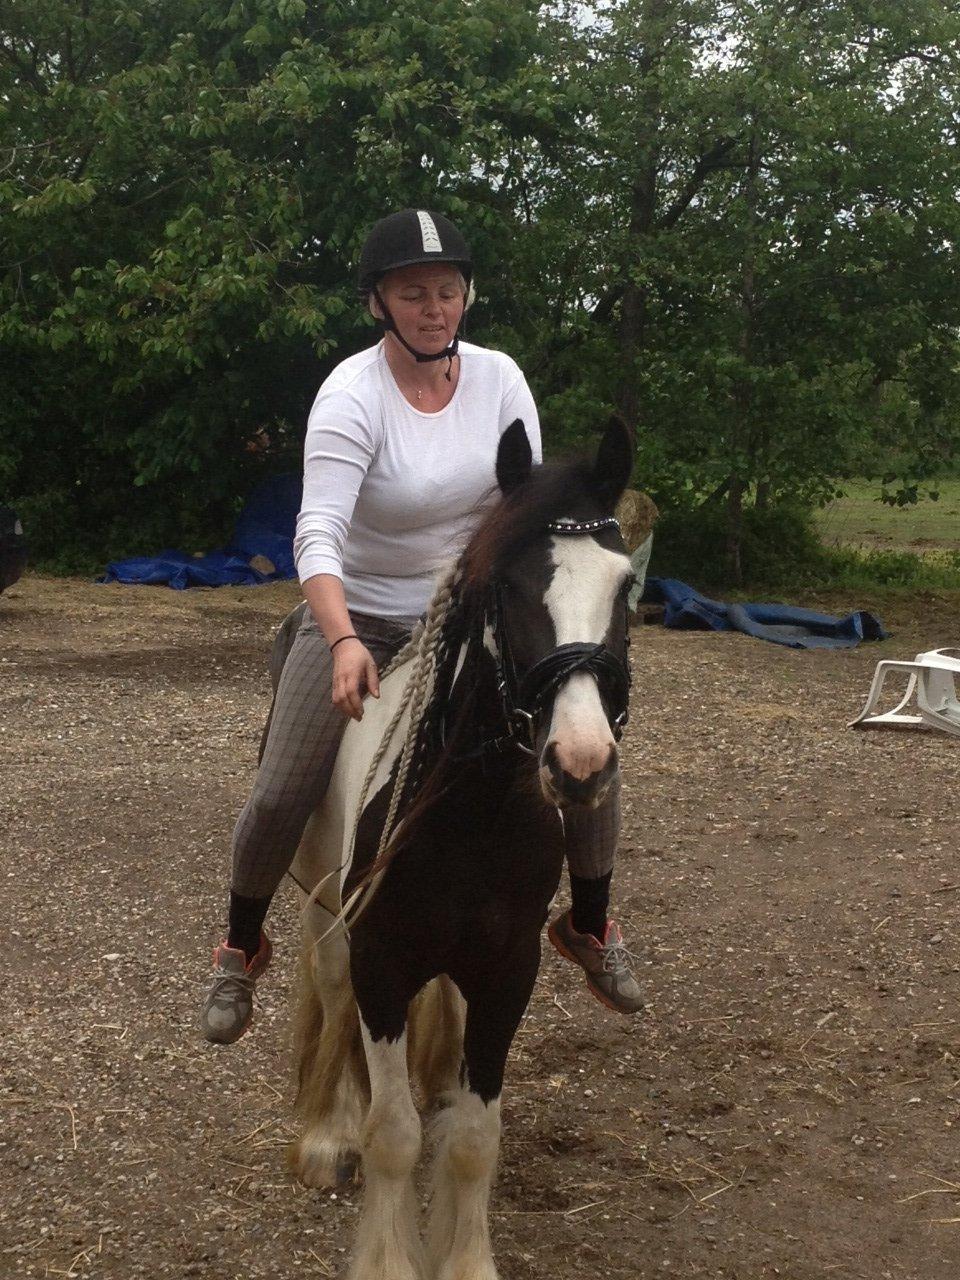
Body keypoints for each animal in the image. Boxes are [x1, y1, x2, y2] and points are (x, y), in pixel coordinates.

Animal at [284, 414, 640, 1274]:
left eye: (626, 587)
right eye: (508, 586)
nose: (581, 763)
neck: (472, 814)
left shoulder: (507, 968)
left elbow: (477, 1139)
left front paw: (466, 1256)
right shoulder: (380, 958)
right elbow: (391, 1135)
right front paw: (388, 1254)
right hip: (324, 902)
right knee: (330, 986)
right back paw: (327, 1135)